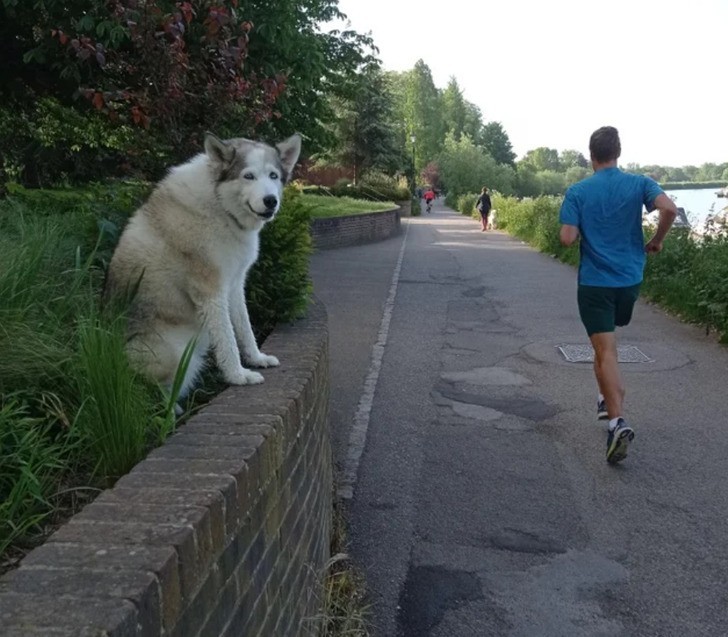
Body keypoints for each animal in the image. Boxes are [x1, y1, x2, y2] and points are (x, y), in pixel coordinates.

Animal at [104, 132, 302, 396]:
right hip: (175, 356)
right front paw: (238, 375)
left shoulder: (234, 285)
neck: (220, 206)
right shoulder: (210, 291)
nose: (271, 201)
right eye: (248, 176)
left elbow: (245, 329)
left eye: (273, 176)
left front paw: (257, 358)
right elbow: (228, 340)